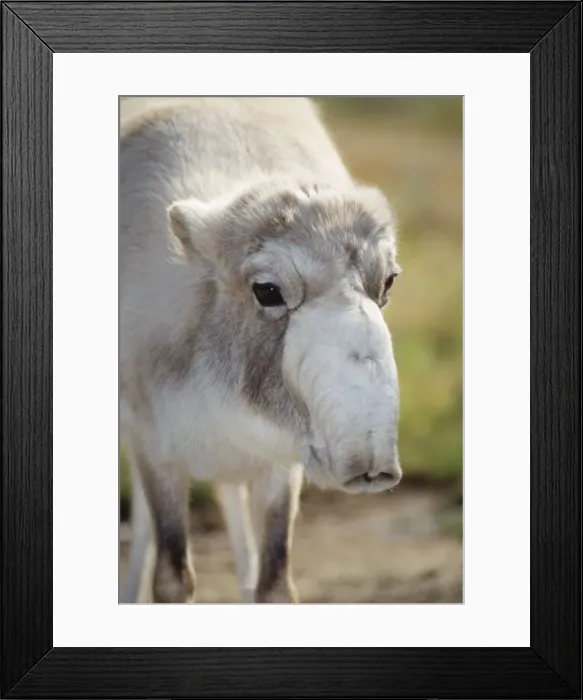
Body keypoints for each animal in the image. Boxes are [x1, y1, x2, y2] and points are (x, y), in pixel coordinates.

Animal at [119, 97, 402, 604]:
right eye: (268, 291)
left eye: (387, 281)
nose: (369, 461)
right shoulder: (155, 449)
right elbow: (171, 577)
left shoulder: (281, 465)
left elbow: (274, 584)